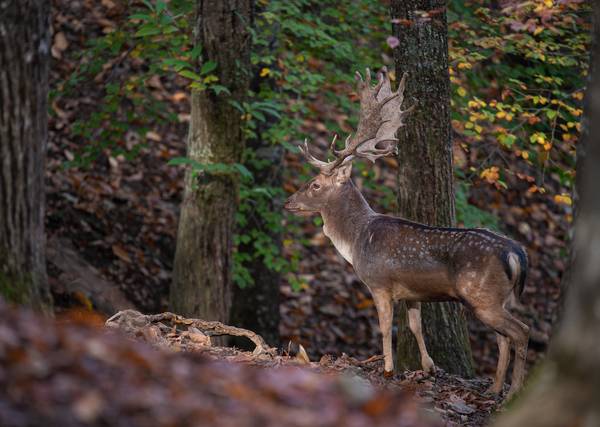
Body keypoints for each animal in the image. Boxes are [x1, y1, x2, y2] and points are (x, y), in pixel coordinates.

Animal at [286, 66, 528, 398]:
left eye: (315, 185)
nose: (288, 202)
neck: (356, 240)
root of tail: (516, 252)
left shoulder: (378, 283)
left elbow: (385, 327)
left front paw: (388, 369)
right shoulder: (413, 293)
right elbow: (416, 327)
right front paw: (429, 367)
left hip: (482, 295)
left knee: (520, 331)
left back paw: (514, 391)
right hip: (495, 298)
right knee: (503, 337)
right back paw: (493, 388)